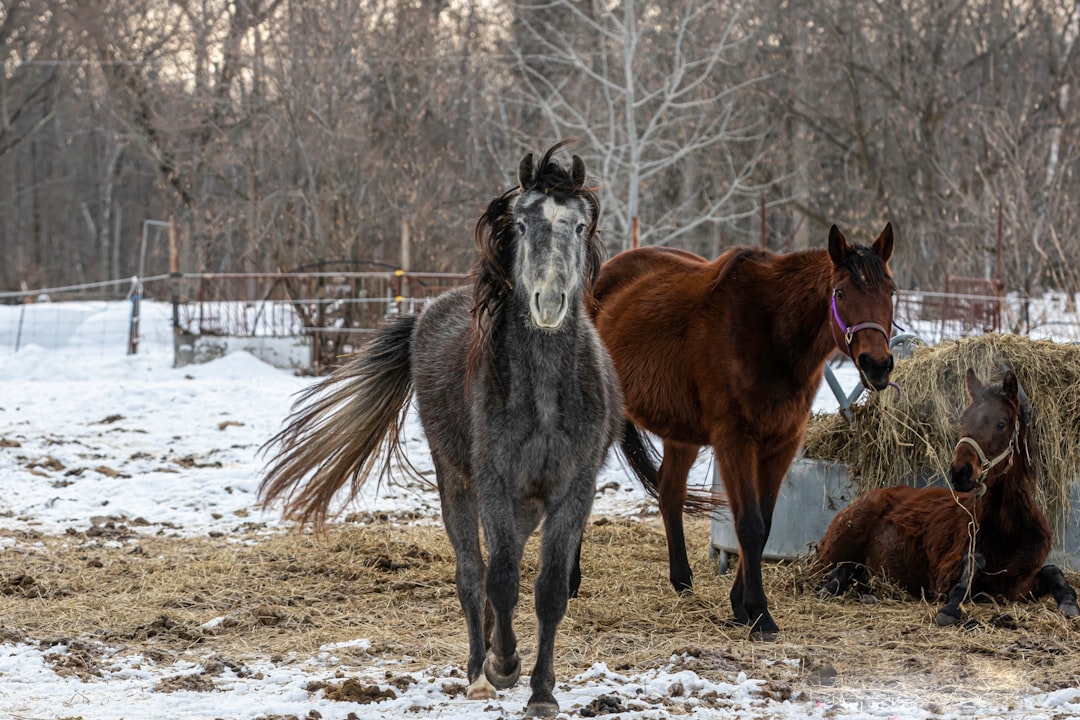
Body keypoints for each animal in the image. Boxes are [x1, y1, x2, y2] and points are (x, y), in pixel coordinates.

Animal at [255, 143, 622, 716]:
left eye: (580, 225)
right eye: (521, 223)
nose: (548, 303)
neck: (544, 395)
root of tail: (426, 313)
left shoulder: (574, 490)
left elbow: (549, 591)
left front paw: (542, 691)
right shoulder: (493, 483)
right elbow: (499, 579)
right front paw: (504, 666)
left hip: (527, 504)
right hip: (457, 481)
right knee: (474, 575)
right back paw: (479, 669)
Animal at [591, 223, 894, 634]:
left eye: (890, 290)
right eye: (841, 292)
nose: (877, 365)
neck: (769, 332)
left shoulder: (781, 443)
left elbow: (764, 525)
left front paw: (740, 606)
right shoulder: (734, 440)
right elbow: (749, 523)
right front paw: (759, 613)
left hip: (680, 433)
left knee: (670, 492)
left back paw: (683, 582)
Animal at [812, 367, 1075, 626]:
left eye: (1001, 423)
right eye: (963, 419)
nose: (960, 472)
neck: (1008, 528)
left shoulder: (1017, 585)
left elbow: (1053, 571)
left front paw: (1069, 602)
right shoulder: (942, 577)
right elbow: (972, 566)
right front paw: (950, 609)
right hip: (833, 552)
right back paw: (831, 586)